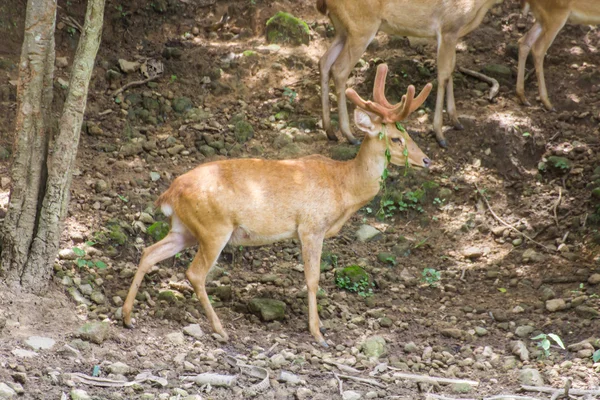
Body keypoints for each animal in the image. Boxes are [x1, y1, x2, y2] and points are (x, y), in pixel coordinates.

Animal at [122, 64, 432, 348]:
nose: (427, 160)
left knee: (149, 253)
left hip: (185, 228)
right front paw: (318, 334)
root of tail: (171, 193)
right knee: (194, 273)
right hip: (214, 227)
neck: (343, 187)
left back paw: (127, 316)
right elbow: (313, 279)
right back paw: (221, 330)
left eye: (409, 134)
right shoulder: (310, 226)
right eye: (395, 138)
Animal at [316, 0, 504, 148]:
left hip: (342, 28)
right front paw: (440, 134)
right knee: (339, 69)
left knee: (324, 61)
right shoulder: (448, 28)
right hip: (361, 26)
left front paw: (456, 121)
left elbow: (451, 69)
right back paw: (349, 135)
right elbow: (443, 74)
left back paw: (330, 131)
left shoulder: (453, 34)